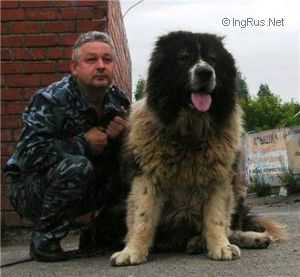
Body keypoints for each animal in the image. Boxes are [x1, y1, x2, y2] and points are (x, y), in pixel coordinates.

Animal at [110, 30, 286, 266]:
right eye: (183, 57)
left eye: (212, 59)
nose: (205, 72)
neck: (189, 132)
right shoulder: (146, 177)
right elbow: (142, 217)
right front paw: (132, 251)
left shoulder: (220, 178)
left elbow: (216, 218)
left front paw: (220, 247)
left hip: (238, 188)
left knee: (231, 228)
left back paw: (246, 239)